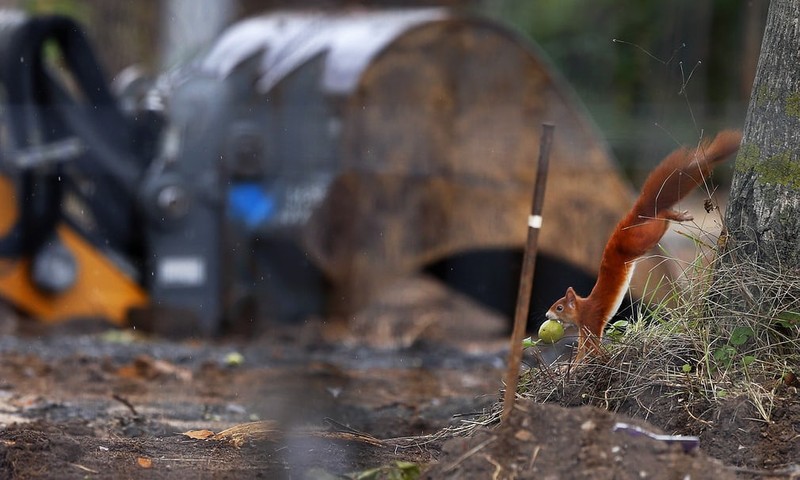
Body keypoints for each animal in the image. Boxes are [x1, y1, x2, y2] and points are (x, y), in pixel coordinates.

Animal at [544, 129, 744, 362]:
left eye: (559, 307)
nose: (547, 314)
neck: (582, 308)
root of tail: (632, 219)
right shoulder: (584, 329)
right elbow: (583, 349)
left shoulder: (591, 321)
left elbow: (593, 348)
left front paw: (591, 362)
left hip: (641, 239)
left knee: (660, 217)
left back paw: (676, 215)